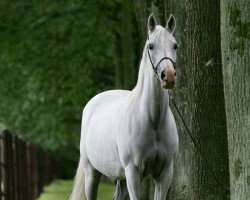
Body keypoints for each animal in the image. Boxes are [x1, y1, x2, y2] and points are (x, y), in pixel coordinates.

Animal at [70, 13, 179, 199]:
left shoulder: (165, 174)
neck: (153, 121)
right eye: (150, 46)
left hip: (121, 177)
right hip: (92, 172)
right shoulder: (133, 174)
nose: (169, 76)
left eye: (175, 45)